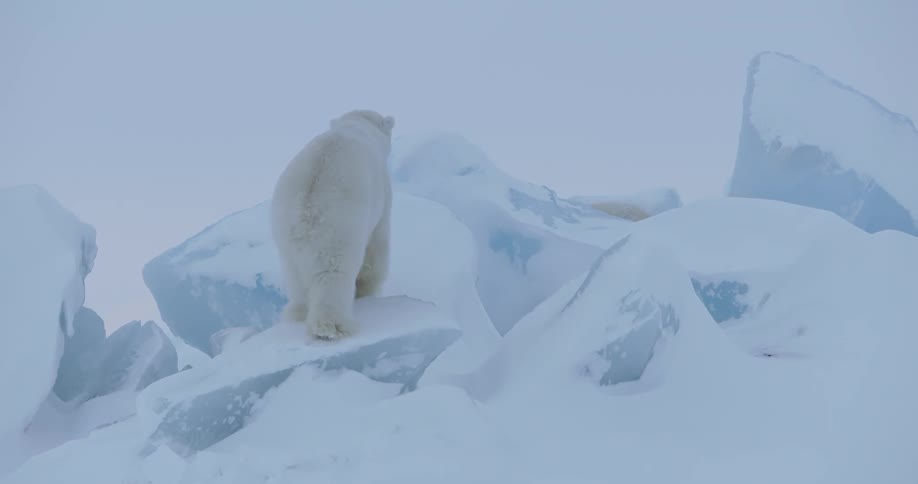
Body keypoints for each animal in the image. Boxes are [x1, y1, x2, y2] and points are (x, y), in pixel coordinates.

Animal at [270, 109, 395, 340]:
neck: (356, 127)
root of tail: (305, 207)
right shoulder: (382, 195)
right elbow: (376, 250)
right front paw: (368, 291)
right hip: (339, 227)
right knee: (333, 274)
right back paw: (332, 326)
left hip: (283, 231)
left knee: (295, 275)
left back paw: (298, 313)